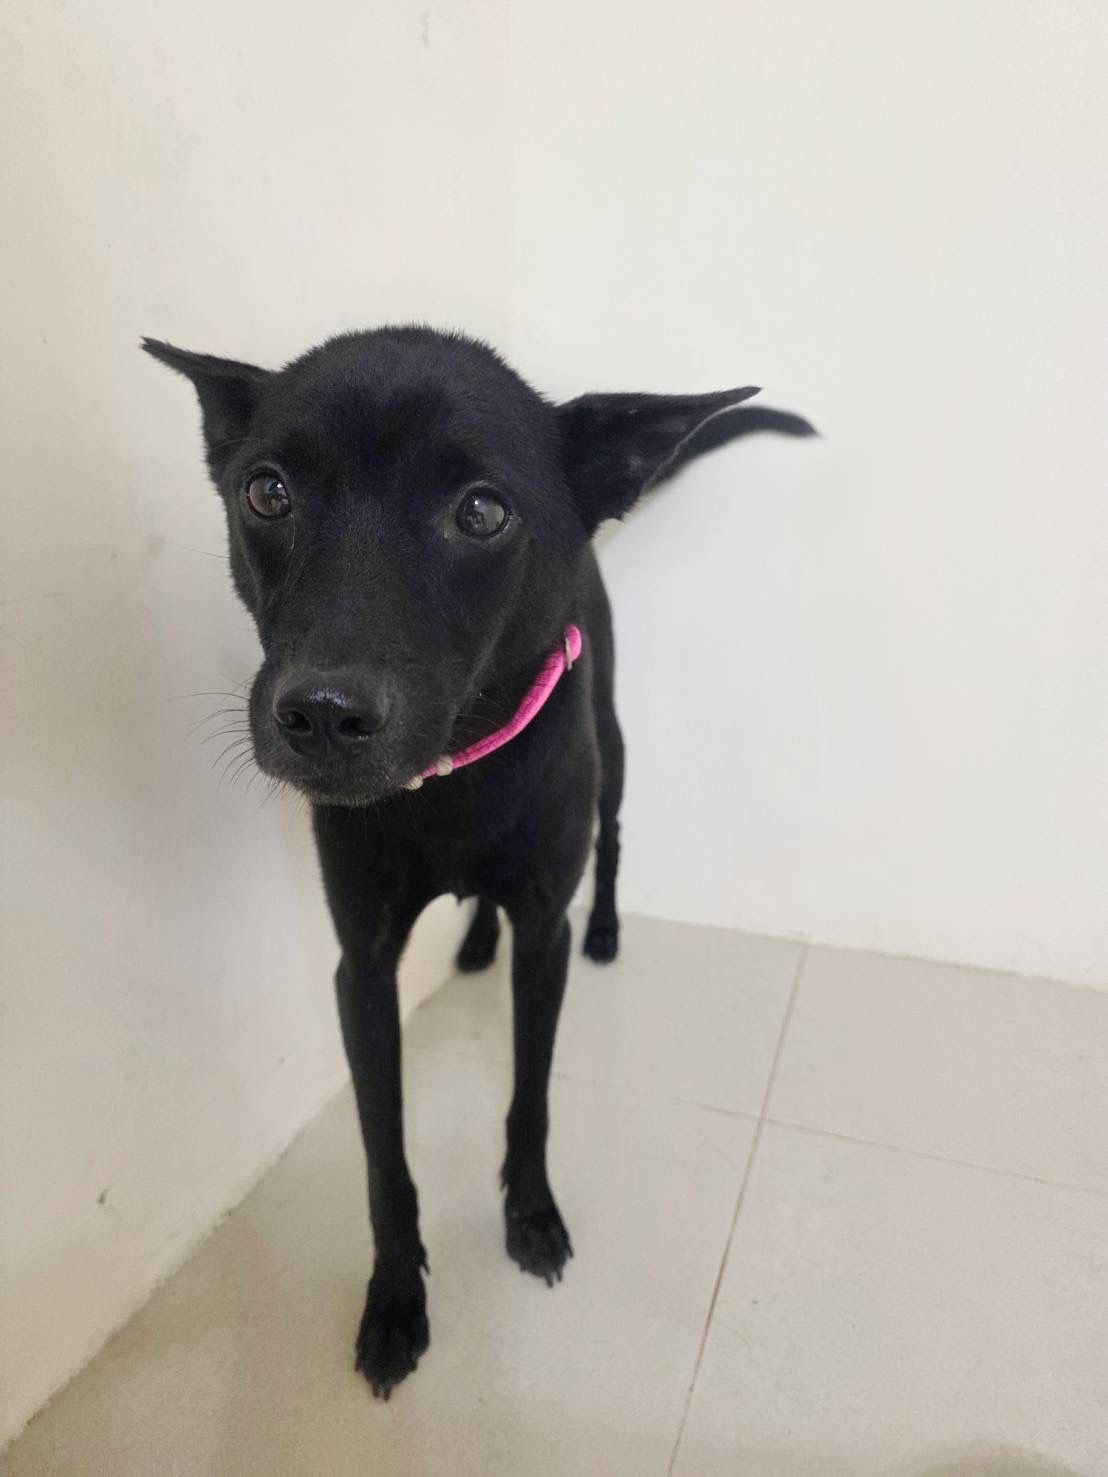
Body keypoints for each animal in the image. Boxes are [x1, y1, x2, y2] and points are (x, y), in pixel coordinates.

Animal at [144, 326, 813, 1397]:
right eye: (267, 491)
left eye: (483, 510)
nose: (321, 716)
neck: (453, 781)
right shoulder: (362, 966)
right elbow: (384, 1157)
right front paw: (394, 1302)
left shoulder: (544, 929)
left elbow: (529, 1098)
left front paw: (530, 1216)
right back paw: (468, 947)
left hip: (612, 746)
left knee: (615, 835)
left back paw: (607, 928)